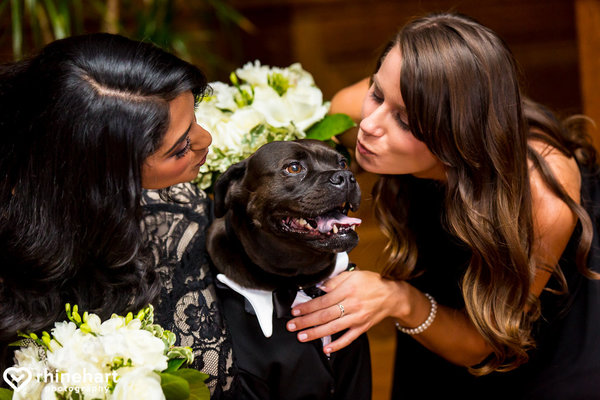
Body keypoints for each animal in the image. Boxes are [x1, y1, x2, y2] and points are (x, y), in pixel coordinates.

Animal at [209, 140, 372, 400]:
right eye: (294, 168)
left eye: (343, 163)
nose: (346, 177)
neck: (300, 282)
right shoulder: (249, 381)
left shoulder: (354, 367)